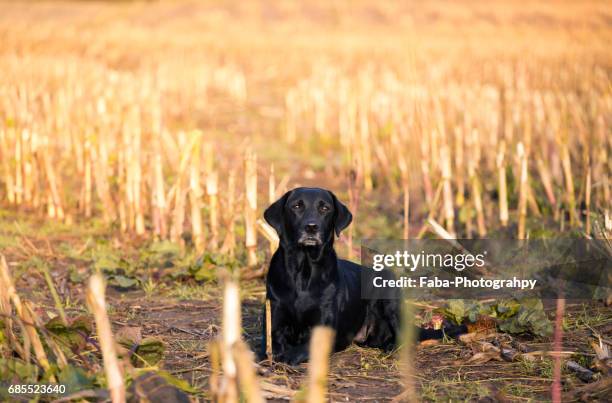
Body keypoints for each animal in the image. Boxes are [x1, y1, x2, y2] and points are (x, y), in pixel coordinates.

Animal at [260, 188, 464, 364]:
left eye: (325, 208)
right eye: (296, 206)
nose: (311, 227)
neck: (304, 271)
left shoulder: (325, 328)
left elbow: (305, 347)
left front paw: (288, 356)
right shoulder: (274, 320)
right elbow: (273, 344)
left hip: (389, 295)